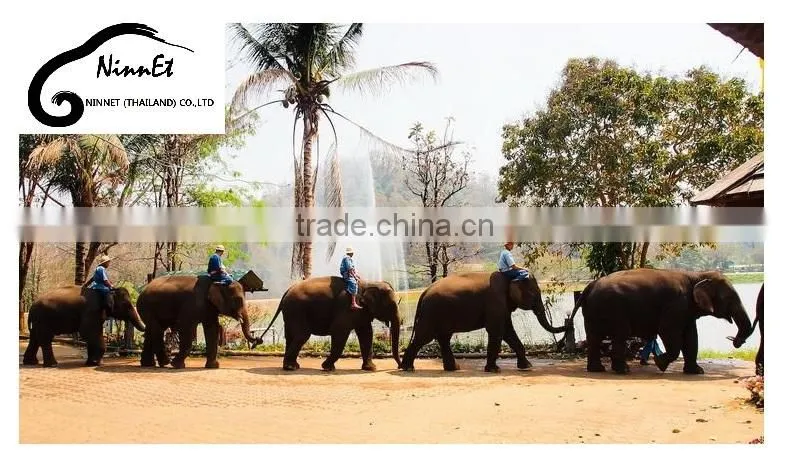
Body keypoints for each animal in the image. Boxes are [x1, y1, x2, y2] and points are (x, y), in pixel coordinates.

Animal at [258, 276, 401, 371]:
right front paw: (327, 367)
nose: (400, 367)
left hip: (290, 313)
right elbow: (339, 332)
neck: (369, 282)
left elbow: (366, 334)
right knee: (302, 335)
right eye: (391, 305)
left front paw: (370, 368)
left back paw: (292, 366)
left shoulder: (362, 312)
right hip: (296, 310)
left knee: (290, 336)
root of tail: (286, 292)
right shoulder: (347, 308)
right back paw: (290, 367)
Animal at [400, 271, 567, 373]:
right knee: (423, 337)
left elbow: (508, 332)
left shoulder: (503, 306)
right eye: (534, 294)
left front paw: (526, 367)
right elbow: (497, 331)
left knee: (443, 338)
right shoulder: (495, 302)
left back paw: (453, 368)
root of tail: (424, 292)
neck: (509, 276)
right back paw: (407, 368)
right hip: (431, 313)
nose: (567, 323)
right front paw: (494, 370)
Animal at [567, 268, 754, 375]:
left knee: (594, 337)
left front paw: (697, 372)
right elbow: (669, 332)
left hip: (593, 311)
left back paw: (598, 369)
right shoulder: (676, 304)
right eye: (729, 298)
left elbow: (691, 336)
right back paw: (623, 371)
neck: (697, 275)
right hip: (613, 309)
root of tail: (589, 286)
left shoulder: (686, 309)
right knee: (620, 334)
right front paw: (660, 363)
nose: (734, 340)